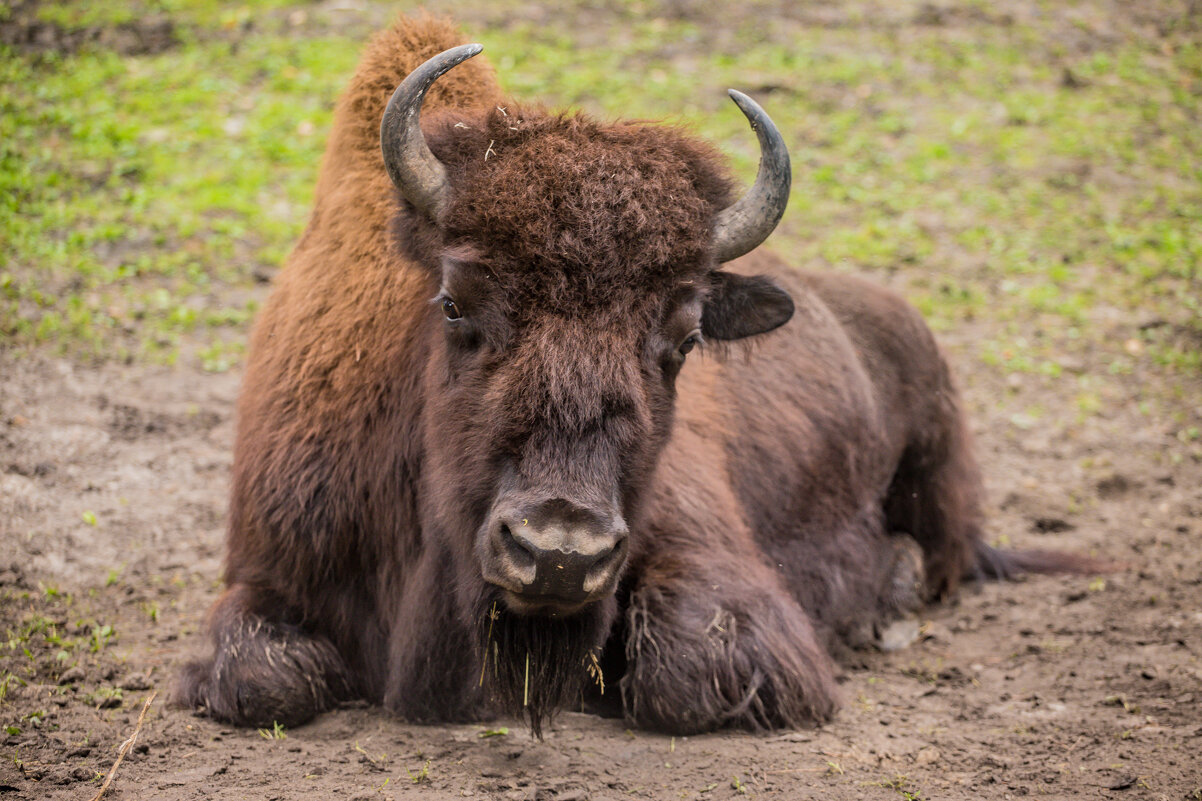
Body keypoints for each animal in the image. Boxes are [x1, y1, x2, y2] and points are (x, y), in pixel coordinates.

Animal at [175, 14, 1091, 736]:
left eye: (683, 337)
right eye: (455, 303)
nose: (557, 553)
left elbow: (686, 675)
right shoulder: (268, 566)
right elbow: (261, 679)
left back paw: (890, 590)